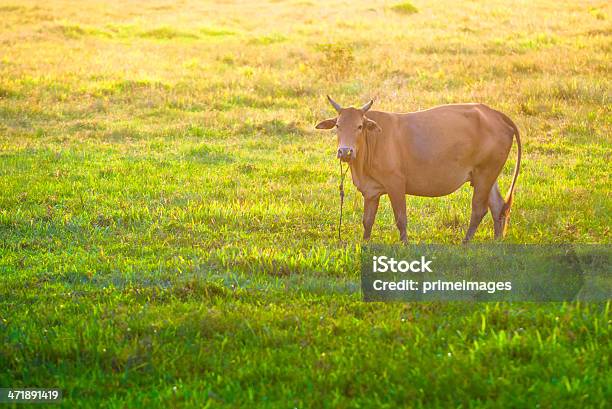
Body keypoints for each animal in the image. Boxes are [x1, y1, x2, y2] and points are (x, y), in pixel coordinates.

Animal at [316, 95, 520, 242]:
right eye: (337, 126)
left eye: (359, 126)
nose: (345, 151)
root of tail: (493, 112)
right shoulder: (371, 191)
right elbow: (367, 221)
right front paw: (365, 244)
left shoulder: (396, 184)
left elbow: (401, 218)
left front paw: (405, 244)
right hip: (486, 176)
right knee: (498, 206)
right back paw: (496, 241)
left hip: (485, 174)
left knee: (479, 209)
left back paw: (466, 242)